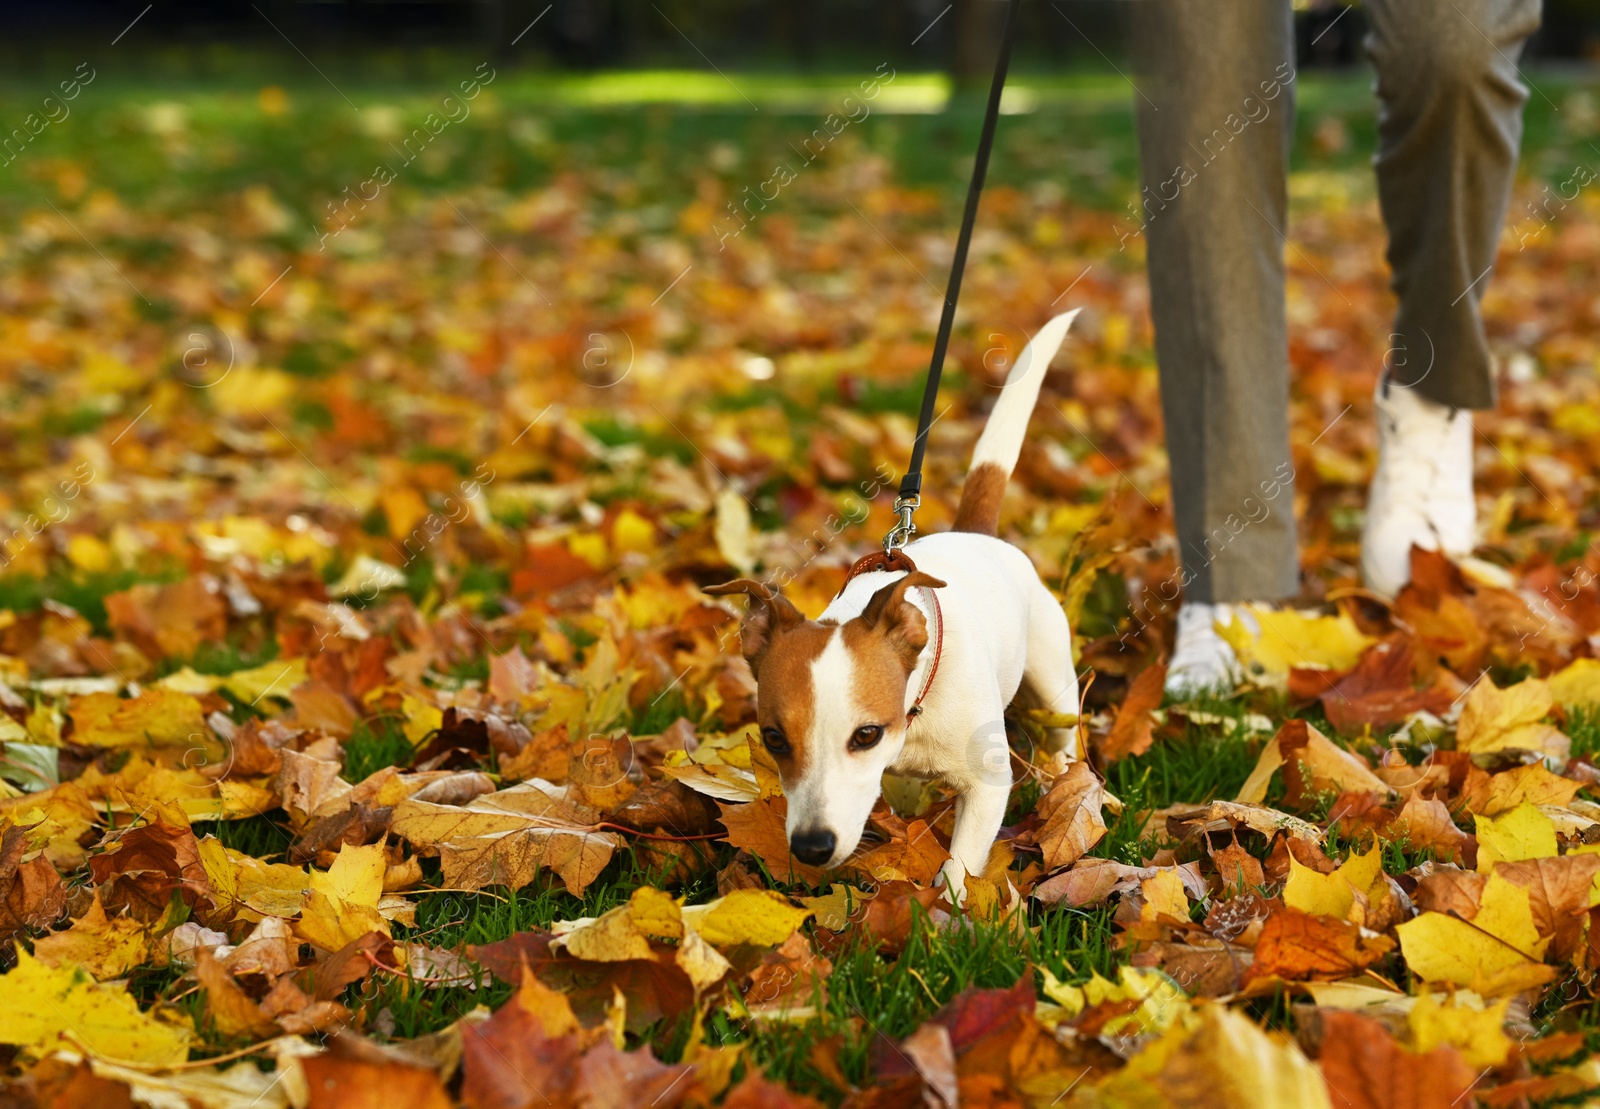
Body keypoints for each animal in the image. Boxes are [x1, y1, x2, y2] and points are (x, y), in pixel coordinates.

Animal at [707, 307, 1081, 896]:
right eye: (773, 738)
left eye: (866, 735)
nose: (811, 848)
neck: (914, 712)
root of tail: (978, 532)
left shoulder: (988, 782)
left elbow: (962, 865)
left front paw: (947, 907)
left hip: (1052, 672)